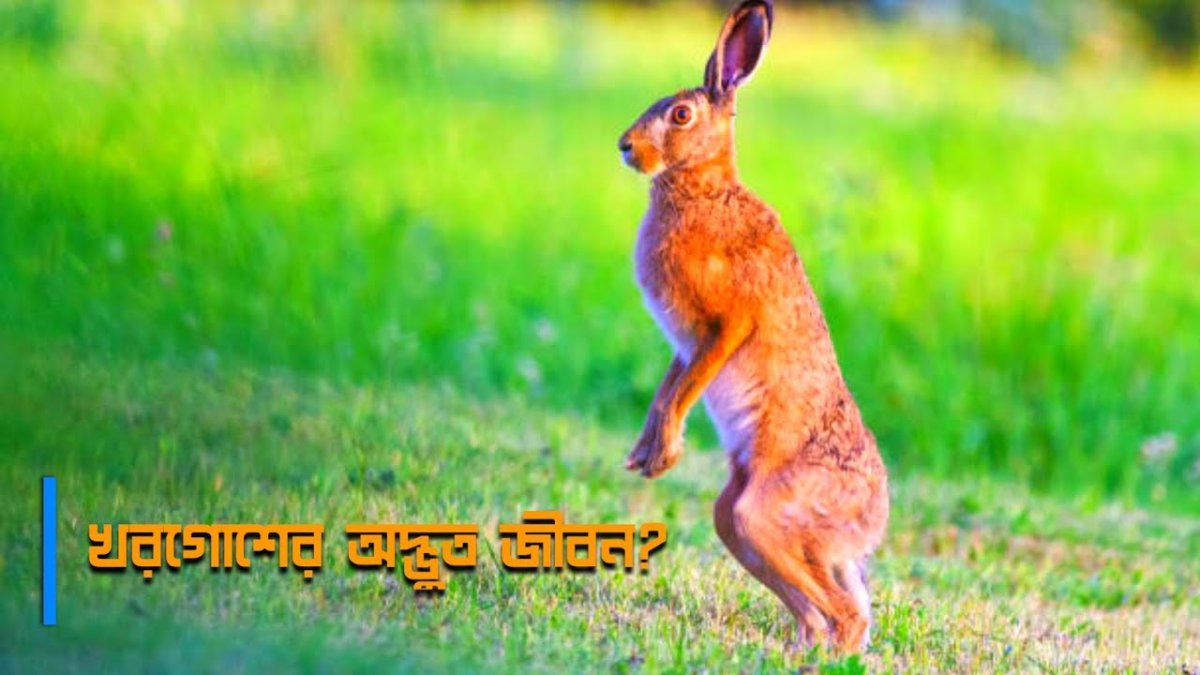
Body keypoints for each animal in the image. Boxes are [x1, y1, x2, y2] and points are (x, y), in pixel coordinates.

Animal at [617, 0, 889, 654]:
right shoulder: (684, 343)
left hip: (764, 513)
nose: (625, 147)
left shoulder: (725, 324)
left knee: (847, 613)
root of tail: (872, 521)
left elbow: (686, 388)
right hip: (740, 518)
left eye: (681, 115)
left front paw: (665, 454)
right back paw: (802, 648)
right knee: (825, 605)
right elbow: (669, 388)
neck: (703, 189)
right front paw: (646, 455)